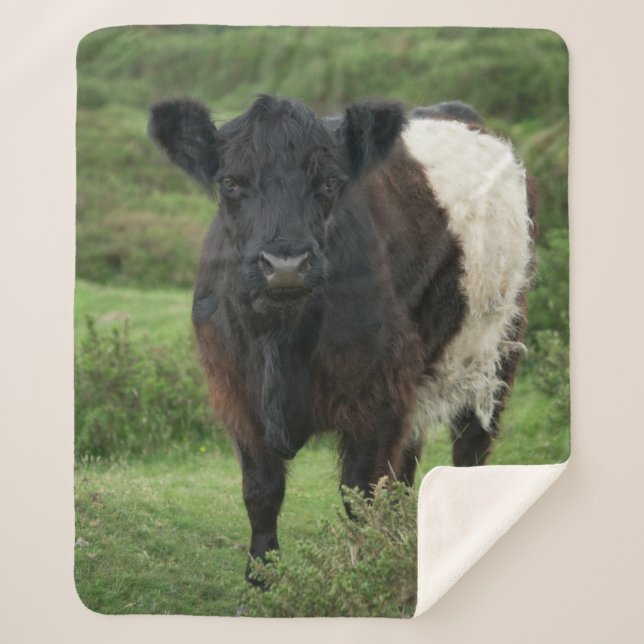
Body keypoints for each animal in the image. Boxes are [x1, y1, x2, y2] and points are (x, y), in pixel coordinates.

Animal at [148, 95, 535, 582]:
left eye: (330, 181)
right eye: (230, 182)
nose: (286, 265)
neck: (281, 336)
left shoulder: (379, 392)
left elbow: (362, 494)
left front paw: (368, 572)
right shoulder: (235, 390)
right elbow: (261, 490)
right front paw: (261, 580)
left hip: (496, 349)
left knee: (471, 446)